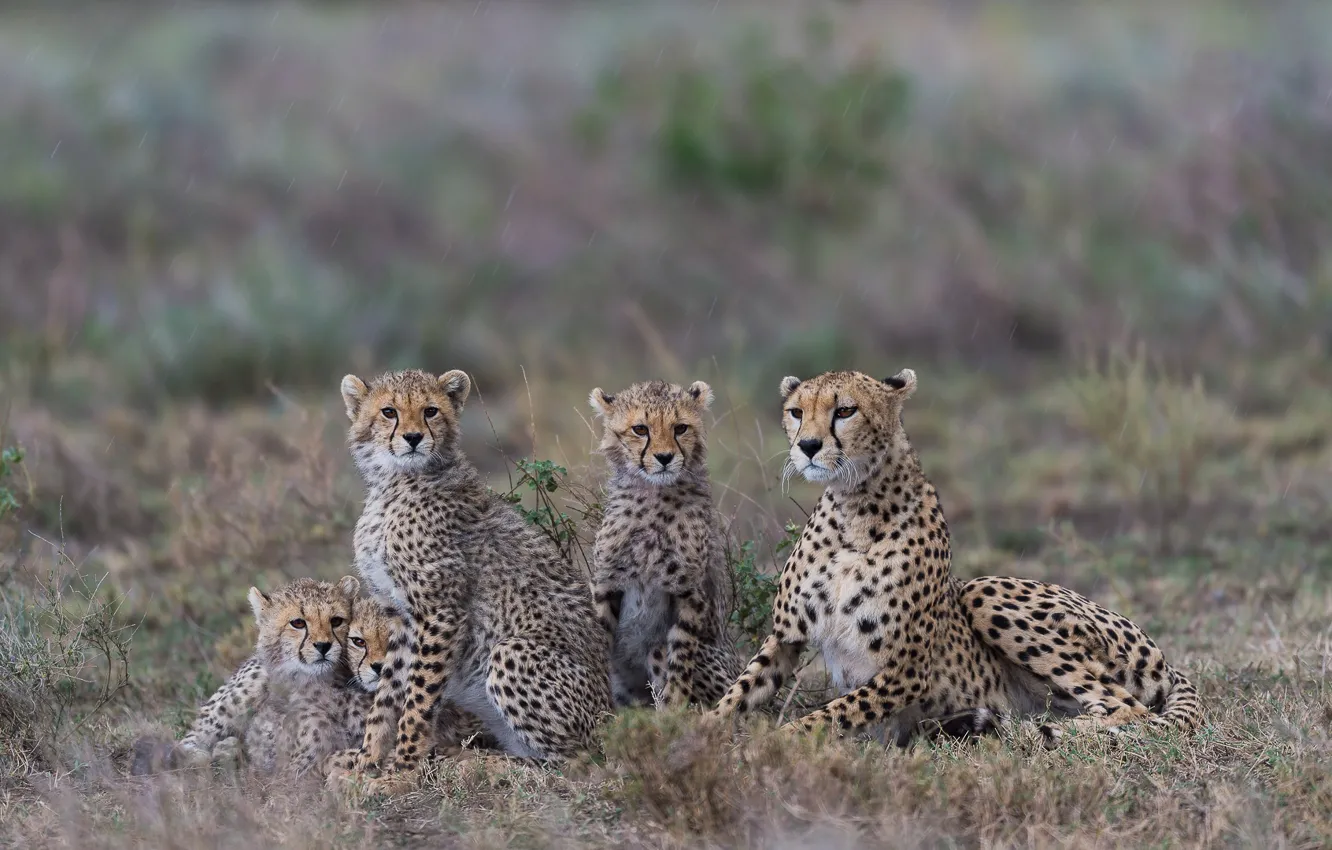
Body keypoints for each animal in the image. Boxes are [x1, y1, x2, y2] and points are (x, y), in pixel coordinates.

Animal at [326, 368, 613, 788]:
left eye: (430, 411)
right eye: (389, 412)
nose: (413, 438)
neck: (395, 480)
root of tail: (614, 716)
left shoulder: (440, 612)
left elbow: (418, 699)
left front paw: (401, 773)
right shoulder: (399, 614)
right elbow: (387, 697)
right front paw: (366, 761)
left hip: (512, 652)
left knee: (577, 764)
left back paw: (475, 764)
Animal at [588, 379, 743, 711]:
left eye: (680, 428)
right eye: (640, 429)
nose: (664, 457)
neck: (653, 496)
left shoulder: (689, 591)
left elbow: (680, 659)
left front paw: (674, 711)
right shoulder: (606, 582)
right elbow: (596, 641)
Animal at [709, 368, 1202, 746]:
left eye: (844, 411)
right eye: (796, 412)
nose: (807, 446)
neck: (855, 507)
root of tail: (1164, 659)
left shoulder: (905, 671)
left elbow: (827, 714)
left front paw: (772, 743)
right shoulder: (785, 637)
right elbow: (738, 693)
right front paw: (699, 732)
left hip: (986, 592)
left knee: (1131, 710)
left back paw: (1041, 731)